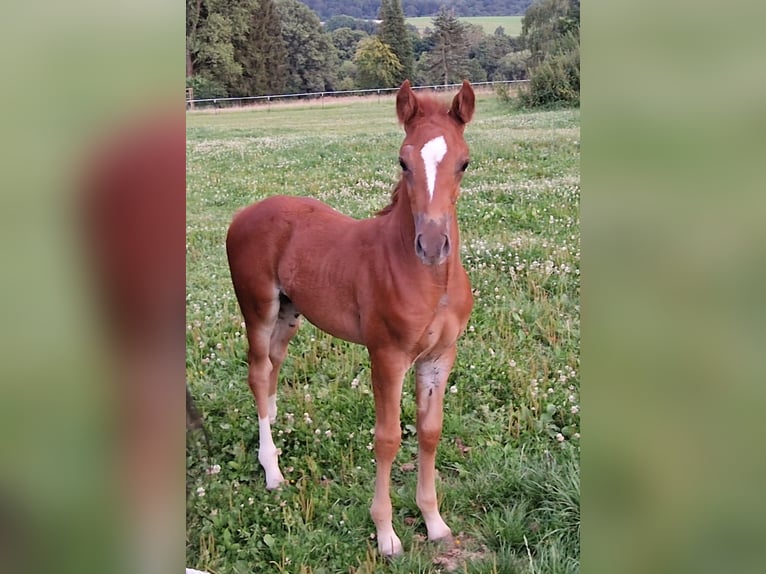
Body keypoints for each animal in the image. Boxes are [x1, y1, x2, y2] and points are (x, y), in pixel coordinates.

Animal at [225, 81, 476, 560]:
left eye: (464, 162)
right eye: (403, 160)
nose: (432, 243)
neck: (430, 281)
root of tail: (244, 213)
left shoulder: (440, 357)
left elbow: (430, 432)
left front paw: (434, 522)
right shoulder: (387, 356)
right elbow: (388, 438)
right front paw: (386, 534)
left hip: (290, 313)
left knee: (273, 368)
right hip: (258, 308)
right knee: (258, 371)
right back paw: (272, 470)